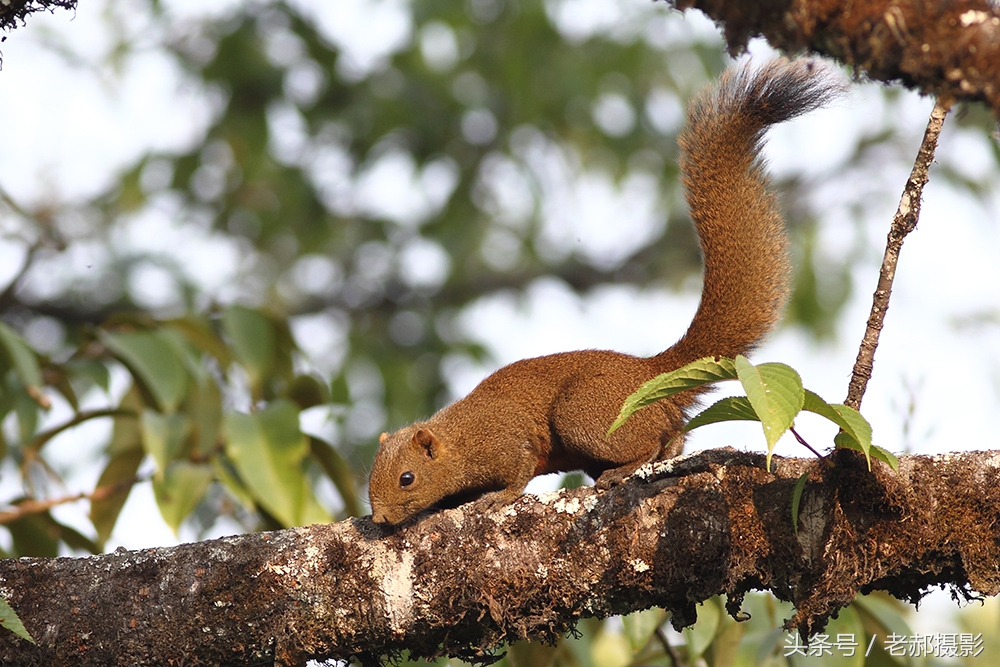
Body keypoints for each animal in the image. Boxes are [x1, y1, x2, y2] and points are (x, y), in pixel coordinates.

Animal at [368, 58, 844, 528]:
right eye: (372, 474)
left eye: (407, 478)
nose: (382, 519)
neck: (459, 437)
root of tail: (650, 373)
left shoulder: (506, 441)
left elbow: (518, 471)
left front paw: (497, 497)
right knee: (671, 438)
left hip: (583, 415)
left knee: (645, 445)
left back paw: (623, 470)